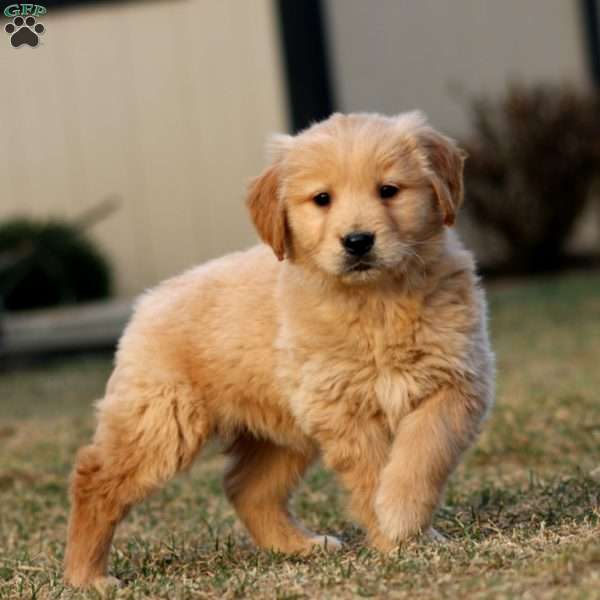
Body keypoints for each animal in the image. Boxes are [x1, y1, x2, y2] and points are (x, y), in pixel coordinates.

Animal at [64, 111, 492, 584]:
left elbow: (423, 452)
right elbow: (371, 473)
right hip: (161, 423)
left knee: (245, 488)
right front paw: (395, 533)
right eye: (322, 199)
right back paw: (86, 576)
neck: (377, 303)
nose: (357, 241)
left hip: (282, 432)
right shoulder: (344, 409)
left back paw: (299, 545)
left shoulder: (455, 383)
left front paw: (404, 518)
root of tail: (148, 300)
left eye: (389, 190)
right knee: (94, 479)